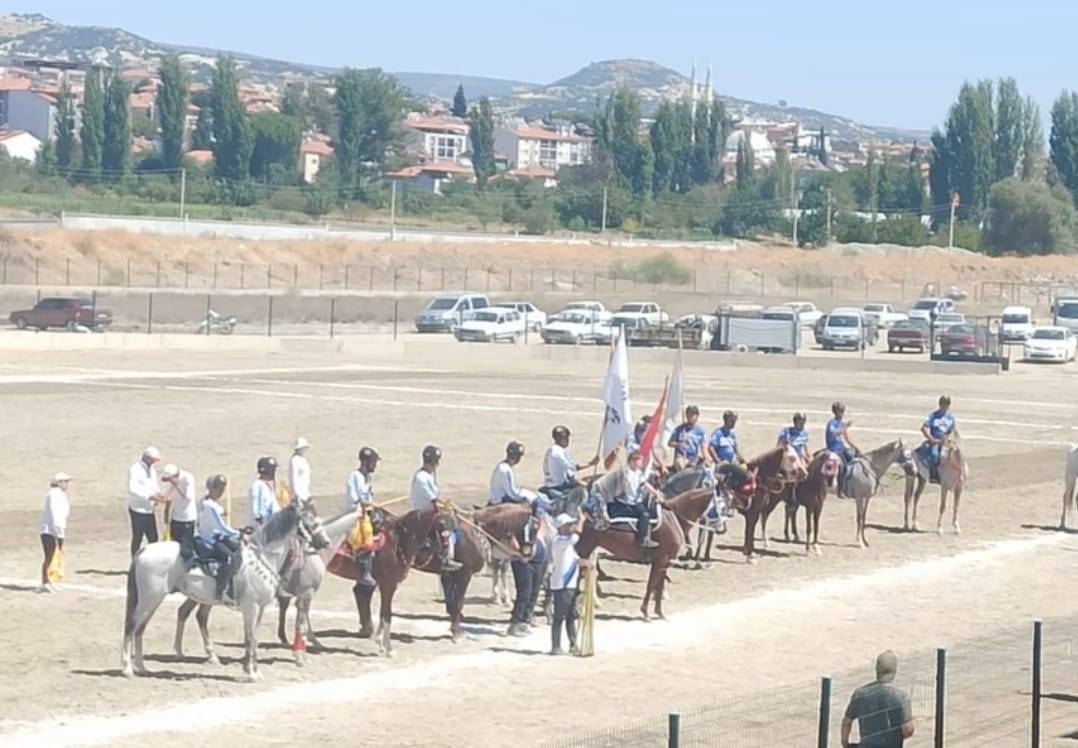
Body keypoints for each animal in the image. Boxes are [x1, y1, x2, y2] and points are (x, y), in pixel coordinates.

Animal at [120, 500, 325, 681]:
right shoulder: (251, 607)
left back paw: (142, 667)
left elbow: (255, 638)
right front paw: (250, 673)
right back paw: (128, 669)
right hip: (149, 599)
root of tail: (145, 550)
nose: (325, 542)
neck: (263, 557)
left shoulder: (260, 608)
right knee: (132, 626)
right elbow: (250, 638)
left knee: (141, 629)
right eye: (310, 521)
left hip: (155, 600)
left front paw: (255, 671)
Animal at [174, 506, 360, 663]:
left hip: (200, 596)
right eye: (311, 523)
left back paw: (187, 652)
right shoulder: (306, 593)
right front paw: (300, 653)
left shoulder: (298, 595)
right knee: (197, 616)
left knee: (188, 613)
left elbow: (298, 617)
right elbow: (302, 622)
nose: (326, 543)